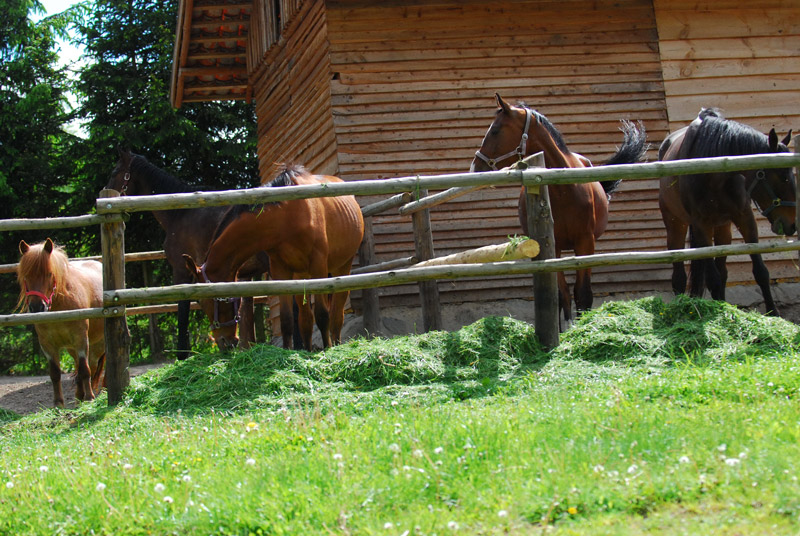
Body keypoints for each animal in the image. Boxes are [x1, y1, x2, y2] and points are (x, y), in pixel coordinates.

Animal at [16, 239, 104, 406]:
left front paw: (90, 398)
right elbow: (55, 373)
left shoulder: (81, 339)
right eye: (26, 275)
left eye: (49, 274)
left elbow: (85, 370)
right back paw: (79, 397)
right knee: (81, 367)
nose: (37, 307)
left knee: (98, 366)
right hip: (73, 348)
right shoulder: (47, 345)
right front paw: (58, 403)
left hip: (99, 345)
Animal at [184, 165, 362, 354]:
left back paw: (335, 344)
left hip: (341, 268)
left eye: (210, 299)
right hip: (302, 276)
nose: (223, 342)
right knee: (305, 318)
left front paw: (327, 350)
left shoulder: (318, 267)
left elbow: (322, 315)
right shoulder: (281, 272)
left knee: (336, 314)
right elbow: (287, 320)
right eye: (199, 302)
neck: (285, 218)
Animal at [656, 107, 792, 314]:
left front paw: (773, 313)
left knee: (723, 272)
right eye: (783, 176)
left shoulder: (745, 218)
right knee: (679, 277)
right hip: (675, 225)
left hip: (723, 228)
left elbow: (760, 271)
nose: (792, 224)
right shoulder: (701, 226)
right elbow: (713, 279)